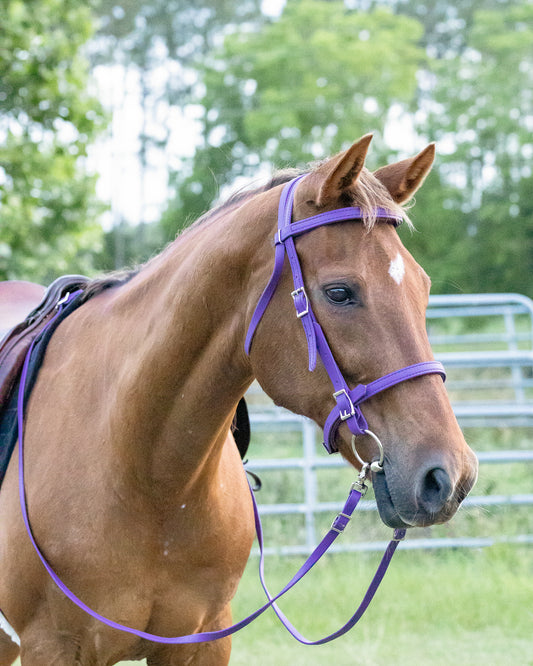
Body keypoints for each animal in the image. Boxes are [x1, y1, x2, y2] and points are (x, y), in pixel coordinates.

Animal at [0, 136, 474, 664]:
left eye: (423, 287)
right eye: (339, 292)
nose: (450, 476)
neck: (144, 471)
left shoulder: (204, 641)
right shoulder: (54, 646)